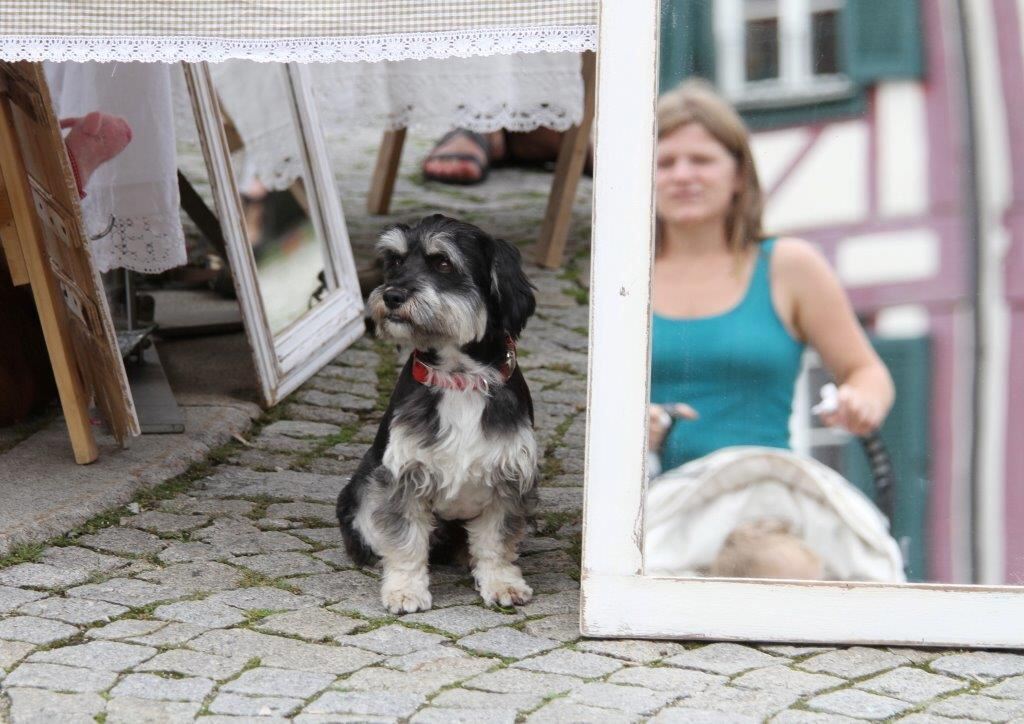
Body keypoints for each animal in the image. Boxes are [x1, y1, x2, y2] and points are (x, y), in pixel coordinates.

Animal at [337, 214, 544, 610]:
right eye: (395, 261)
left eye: (443, 263)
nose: (391, 295)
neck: (458, 379)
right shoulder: (404, 477)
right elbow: (405, 540)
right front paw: (405, 589)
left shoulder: (508, 479)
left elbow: (496, 541)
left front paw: (501, 582)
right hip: (365, 490)